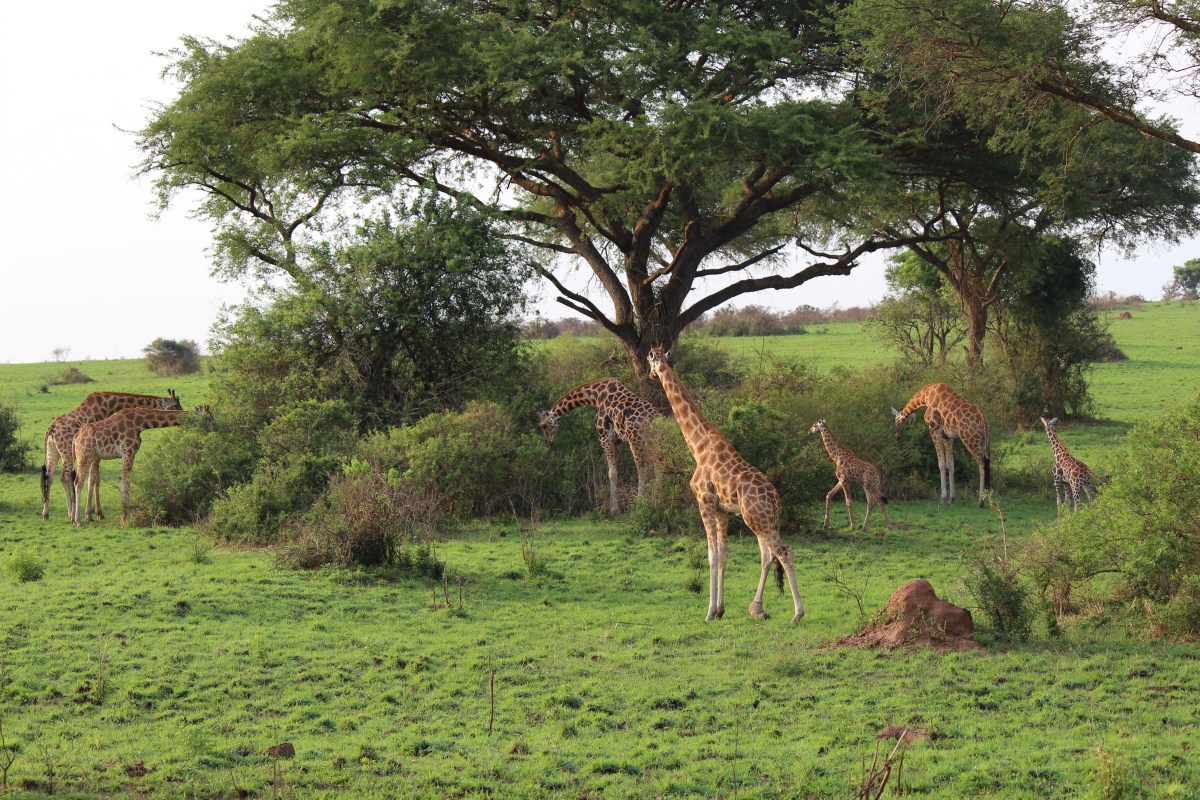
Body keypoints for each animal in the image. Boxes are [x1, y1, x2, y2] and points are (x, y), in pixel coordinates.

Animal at [41, 390, 181, 520]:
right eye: (175, 405)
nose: (182, 414)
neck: (110, 404)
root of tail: (50, 431)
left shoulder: (97, 454)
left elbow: (95, 479)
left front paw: (93, 514)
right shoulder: (96, 454)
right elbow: (94, 479)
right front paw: (94, 514)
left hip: (53, 452)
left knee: (50, 476)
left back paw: (46, 514)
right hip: (67, 453)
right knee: (64, 477)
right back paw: (71, 514)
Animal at [71, 406, 207, 526]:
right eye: (208, 417)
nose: (209, 430)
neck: (140, 423)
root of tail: (76, 437)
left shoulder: (132, 454)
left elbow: (128, 483)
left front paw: (129, 514)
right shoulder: (128, 452)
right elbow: (124, 484)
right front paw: (125, 518)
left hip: (91, 456)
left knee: (87, 480)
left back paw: (82, 517)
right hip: (84, 456)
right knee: (78, 482)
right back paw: (78, 521)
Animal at [537, 378, 658, 514]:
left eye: (543, 426)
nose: (548, 443)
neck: (594, 396)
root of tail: (654, 418)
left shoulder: (605, 436)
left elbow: (612, 473)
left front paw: (614, 510)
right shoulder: (617, 440)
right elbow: (615, 471)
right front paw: (614, 507)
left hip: (635, 440)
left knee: (642, 468)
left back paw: (640, 504)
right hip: (652, 440)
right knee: (658, 466)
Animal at [647, 347, 805, 623]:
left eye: (649, 359)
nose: (649, 375)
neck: (698, 446)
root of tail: (775, 499)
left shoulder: (705, 502)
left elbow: (711, 557)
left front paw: (709, 612)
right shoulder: (723, 510)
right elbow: (723, 557)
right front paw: (720, 610)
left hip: (756, 518)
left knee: (783, 551)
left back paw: (797, 614)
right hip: (760, 519)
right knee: (767, 555)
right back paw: (757, 608)